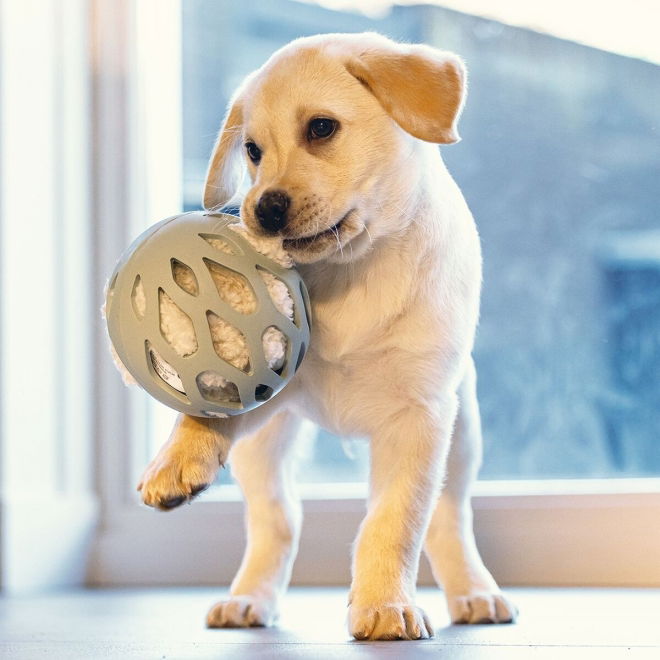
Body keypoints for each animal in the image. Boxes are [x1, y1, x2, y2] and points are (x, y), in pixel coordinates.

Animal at [139, 32, 520, 640]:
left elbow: (394, 522)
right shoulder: (272, 386)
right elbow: (208, 402)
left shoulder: (418, 417)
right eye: (252, 151)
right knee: (277, 519)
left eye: (321, 128)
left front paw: (385, 604)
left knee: (449, 517)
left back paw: (474, 592)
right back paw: (248, 598)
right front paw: (177, 459)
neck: (349, 269)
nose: (263, 210)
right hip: (267, 449)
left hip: (463, 435)